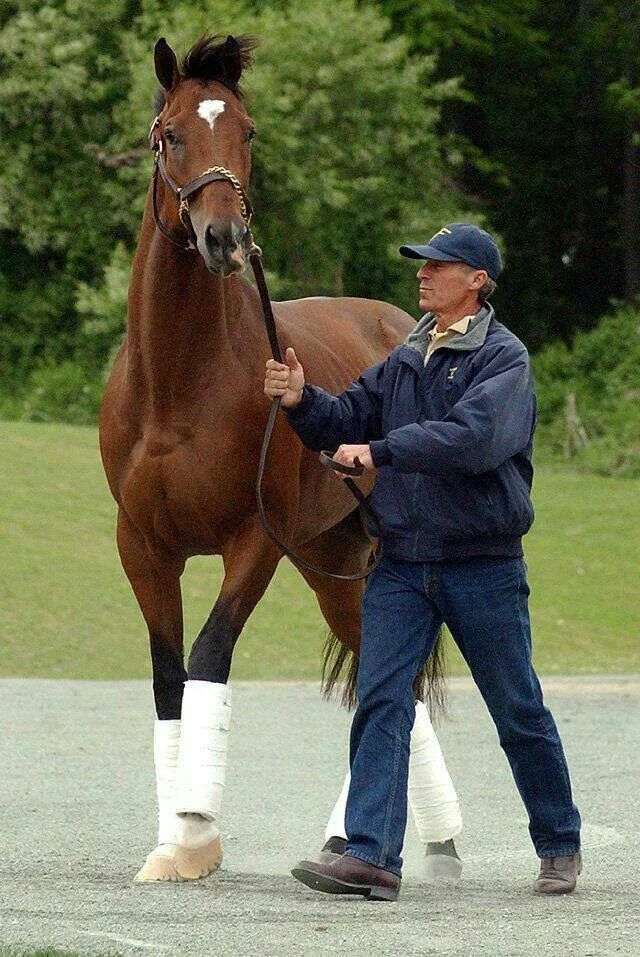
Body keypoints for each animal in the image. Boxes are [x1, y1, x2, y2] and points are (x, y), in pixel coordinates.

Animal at [100, 31, 440, 880]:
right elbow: (167, 675)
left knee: (396, 680)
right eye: (170, 134)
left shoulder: (253, 540)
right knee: (384, 676)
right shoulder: (142, 546)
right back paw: (349, 839)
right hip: (333, 563)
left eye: (247, 132)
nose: (224, 239)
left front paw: (194, 833)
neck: (179, 385)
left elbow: (209, 655)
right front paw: (173, 842)